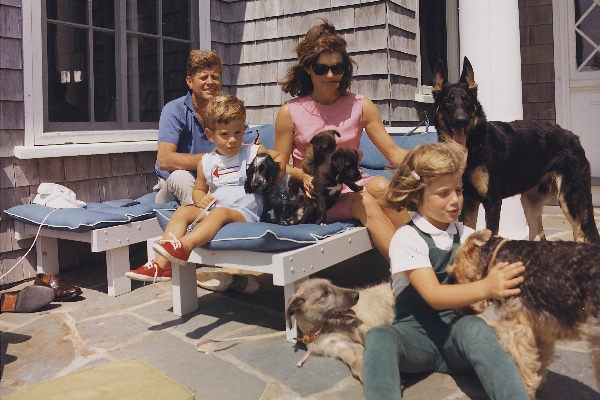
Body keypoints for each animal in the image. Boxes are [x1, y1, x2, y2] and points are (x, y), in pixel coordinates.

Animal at [448, 230, 600, 398]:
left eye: (454, 274)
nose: (459, 310)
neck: (496, 258)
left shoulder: (516, 328)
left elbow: (524, 368)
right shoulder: (540, 329)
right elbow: (538, 363)